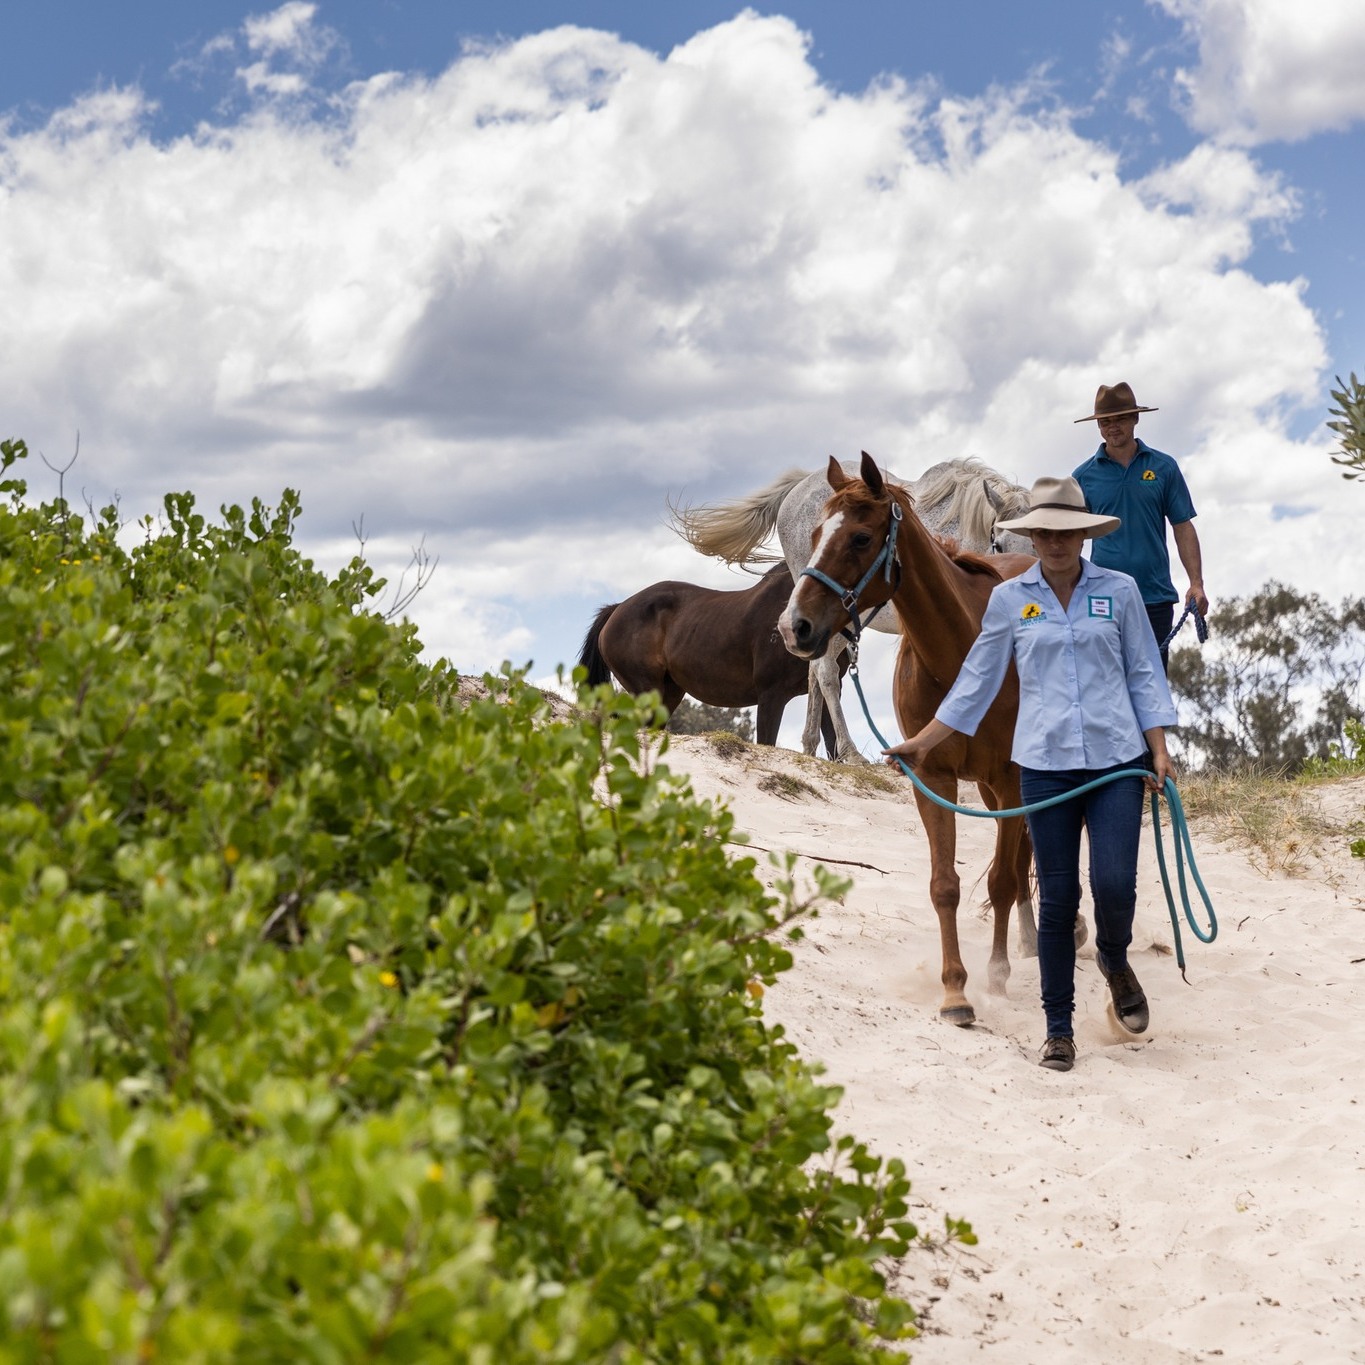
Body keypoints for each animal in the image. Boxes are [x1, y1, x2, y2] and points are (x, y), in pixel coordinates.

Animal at [578, 567, 840, 758]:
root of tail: (616, 609)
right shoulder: (771, 695)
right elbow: (767, 742)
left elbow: (833, 741)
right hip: (645, 689)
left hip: (669, 693)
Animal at [780, 453, 1031, 1026]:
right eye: (817, 534)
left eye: (860, 537)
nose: (794, 625)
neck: (960, 651)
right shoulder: (932, 777)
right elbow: (945, 886)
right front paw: (956, 992)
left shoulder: (1010, 780)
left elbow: (1004, 880)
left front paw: (998, 975)